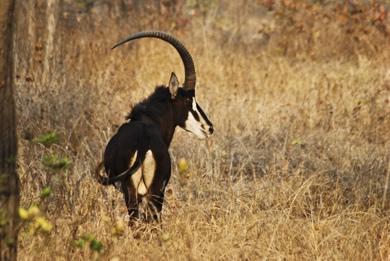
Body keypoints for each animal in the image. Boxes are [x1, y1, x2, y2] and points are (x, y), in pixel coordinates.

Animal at [96, 30, 215, 221]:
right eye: (188, 100)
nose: (209, 128)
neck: (149, 119)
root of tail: (144, 144)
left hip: (141, 193)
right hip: (153, 192)